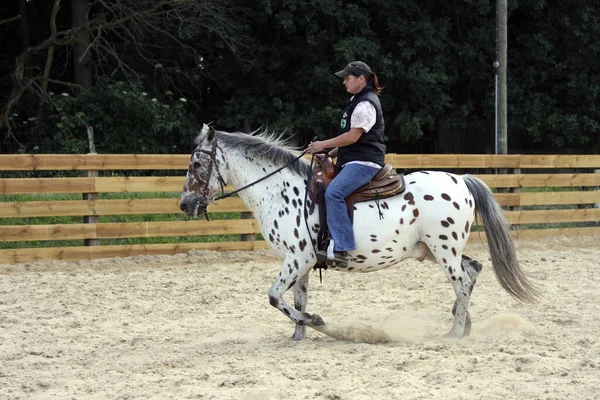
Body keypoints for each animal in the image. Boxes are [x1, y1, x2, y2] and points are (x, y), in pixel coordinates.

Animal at [179, 125, 540, 340]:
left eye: (196, 165)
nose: (185, 204)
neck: (280, 190)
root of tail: (461, 180)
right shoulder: (303, 262)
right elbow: (296, 298)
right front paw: (299, 334)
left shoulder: (297, 259)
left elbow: (274, 296)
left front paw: (316, 322)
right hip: (436, 250)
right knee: (473, 269)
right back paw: (464, 325)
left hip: (444, 250)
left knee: (462, 282)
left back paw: (454, 331)